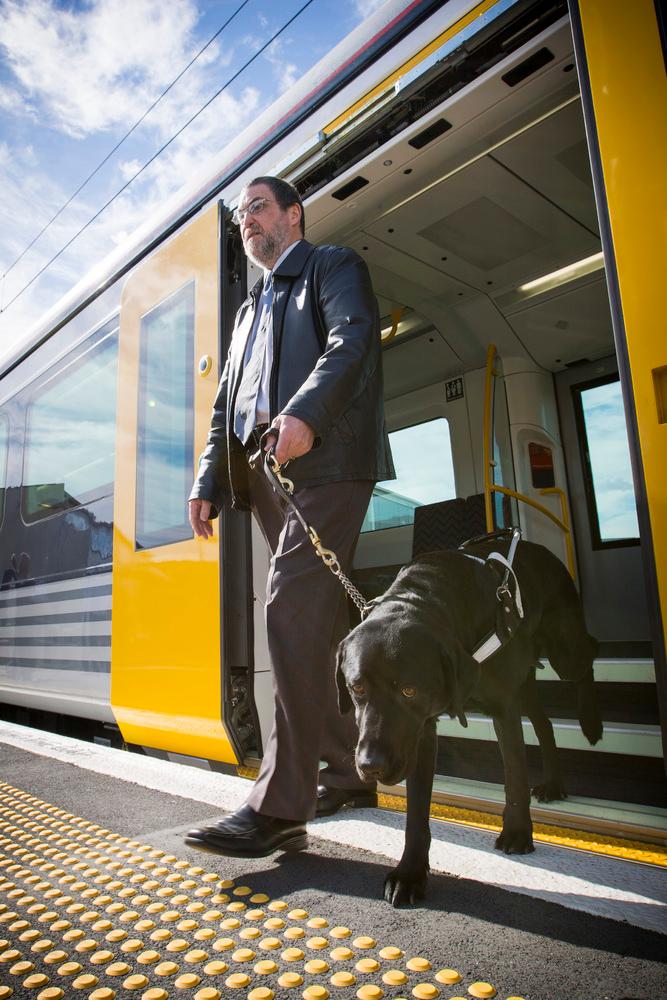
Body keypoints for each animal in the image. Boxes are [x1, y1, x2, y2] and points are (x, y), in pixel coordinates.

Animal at [336, 540, 604, 908]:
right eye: (357, 688)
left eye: (409, 690)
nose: (369, 766)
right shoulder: (421, 732)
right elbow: (416, 813)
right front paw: (410, 873)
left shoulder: (504, 709)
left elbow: (515, 778)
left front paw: (517, 832)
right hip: (526, 682)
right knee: (545, 723)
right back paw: (553, 783)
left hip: (563, 650)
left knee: (588, 655)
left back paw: (591, 723)